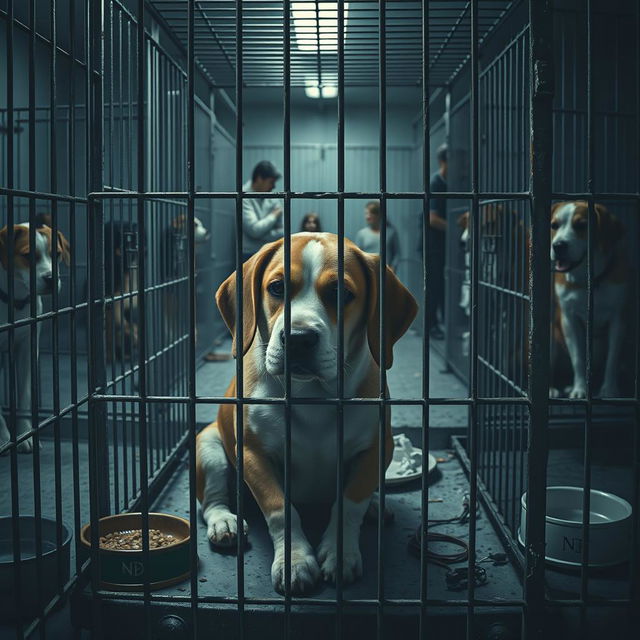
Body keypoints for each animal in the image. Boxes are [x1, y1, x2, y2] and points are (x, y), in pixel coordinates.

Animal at [0, 220, 70, 456]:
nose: (51, 278)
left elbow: (23, 398)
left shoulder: (26, 349)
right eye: (28, 255)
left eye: (56, 254)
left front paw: (24, 435)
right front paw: (4, 439)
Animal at [195, 232, 418, 592]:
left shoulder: (375, 449)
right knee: (212, 500)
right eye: (277, 288)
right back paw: (224, 522)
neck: (313, 395)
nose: (299, 338)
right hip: (209, 446)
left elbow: (350, 503)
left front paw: (340, 553)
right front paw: (295, 562)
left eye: (341, 293)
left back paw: (376, 507)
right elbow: (281, 511)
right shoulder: (253, 454)